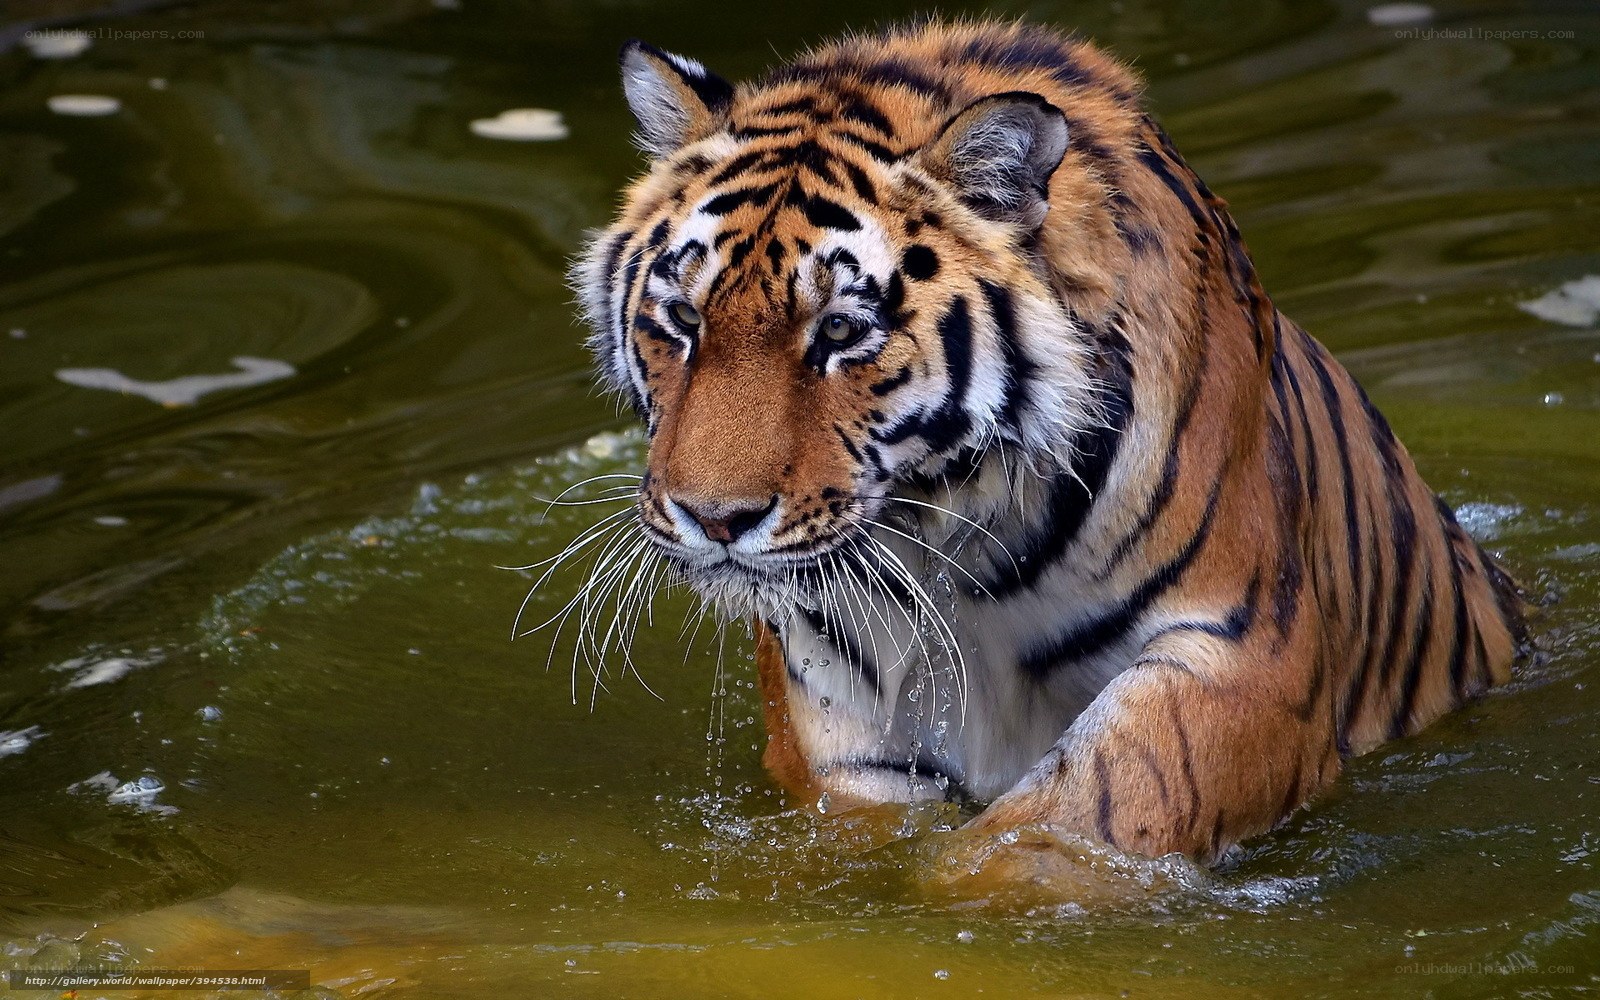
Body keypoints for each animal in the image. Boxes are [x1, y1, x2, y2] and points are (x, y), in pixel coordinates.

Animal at [568, 18, 1528, 864]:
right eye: (683, 319)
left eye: (840, 331)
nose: (713, 520)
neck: (950, 535)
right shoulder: (838, 703)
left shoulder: (1246, 651)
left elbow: (1087, 810)